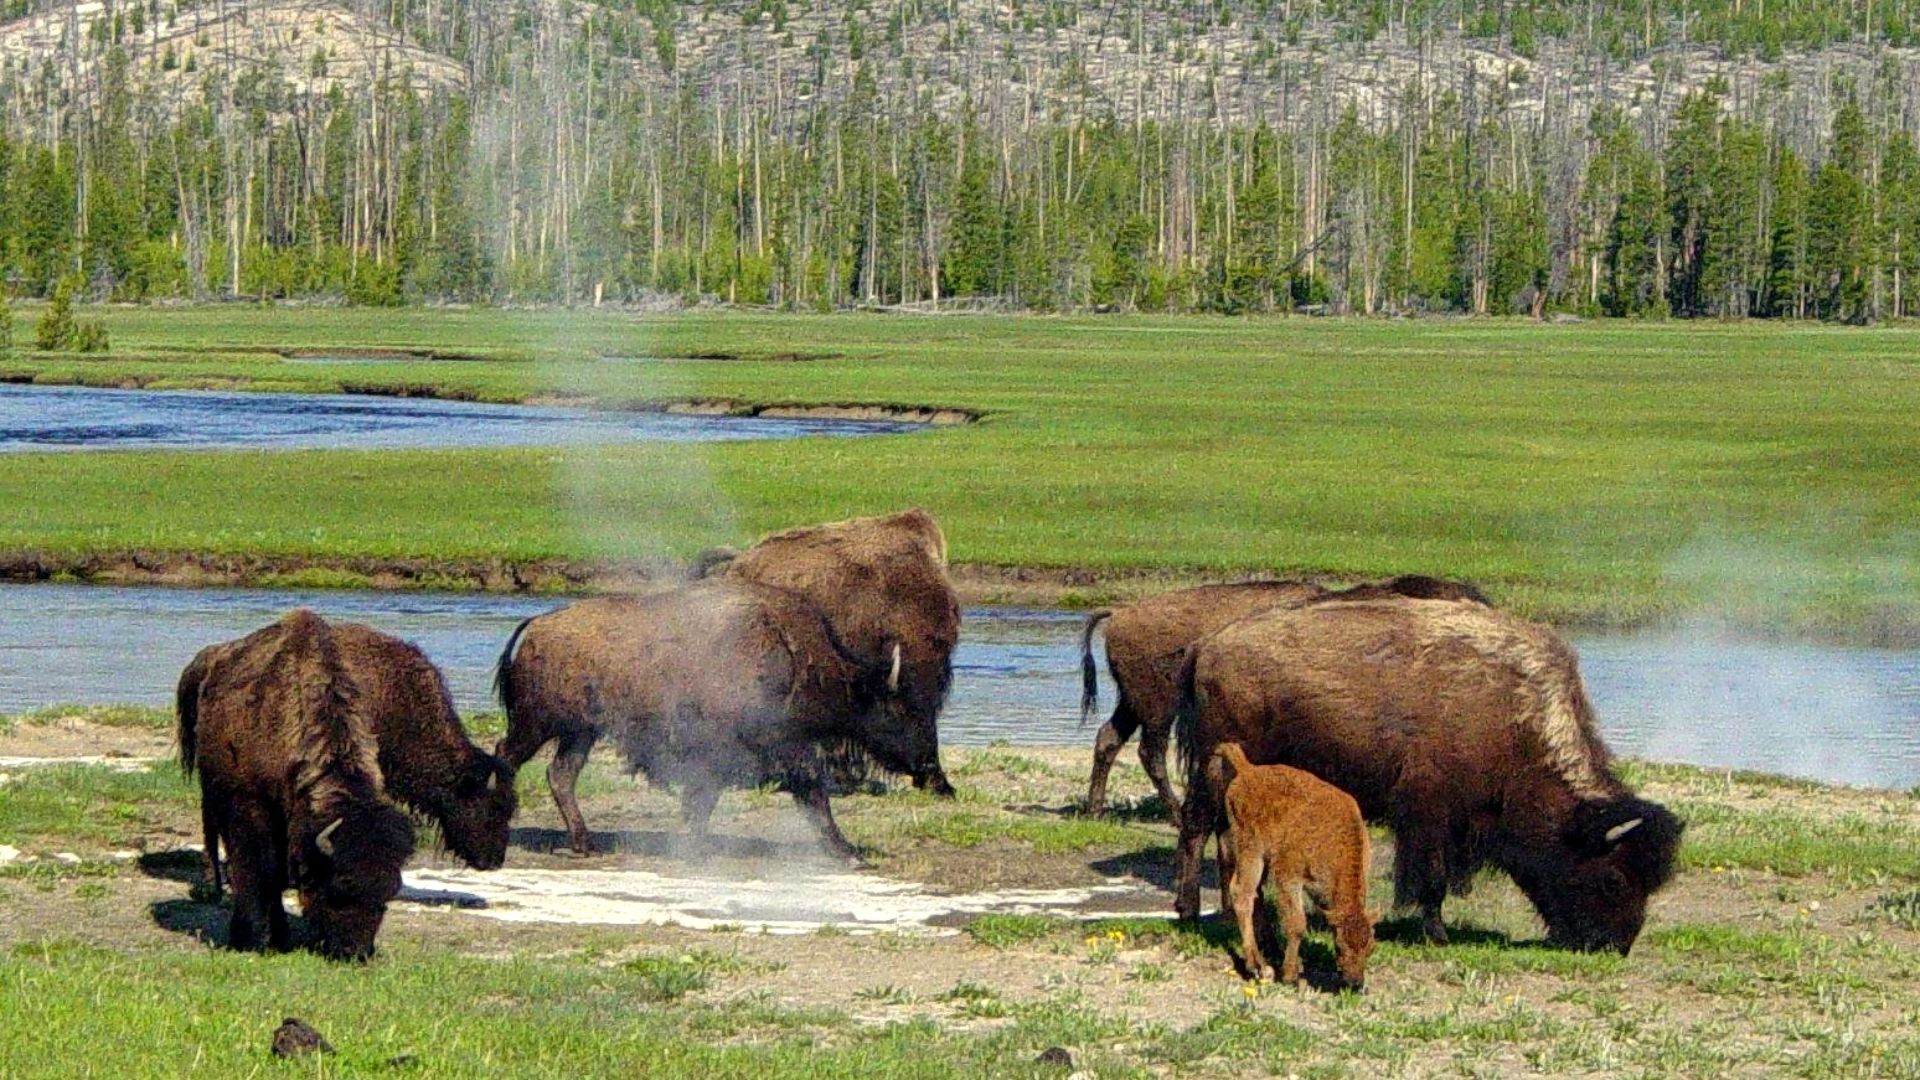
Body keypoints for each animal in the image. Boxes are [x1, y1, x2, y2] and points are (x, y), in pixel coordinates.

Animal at [176, 610, 415, 960]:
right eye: (340, 887)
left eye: (388, 893)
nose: (356, 953)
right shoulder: (251, 808)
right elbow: (259, 871)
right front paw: (253, 938)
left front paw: (279, 936)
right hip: (211, 794)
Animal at [494, 578, 941, 864]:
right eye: (900, 707)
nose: (930, 766)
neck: (794, 656)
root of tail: (537, 626)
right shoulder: (774, 749)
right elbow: (813, 795)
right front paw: (849, 853)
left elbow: (706, 801)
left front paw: (696, 845)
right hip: (539, 724)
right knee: (508, 756)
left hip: (580, 732)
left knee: (560, 775)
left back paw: (585, 844)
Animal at [1080, 576, 1488, 823]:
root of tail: (1120, 612)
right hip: (1157, 707)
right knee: (1150, 752)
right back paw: (1176, 816)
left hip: (1133, 703)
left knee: (1109, 739)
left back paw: (1095, 811)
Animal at [1172, 596, 1681, 955]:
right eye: (1613, 879)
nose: (1615, 946)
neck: (1513, 719)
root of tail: (1207, 648)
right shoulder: (1430, 814)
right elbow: (1430, 877)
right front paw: (1436, 932)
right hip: (1215, 770)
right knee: (1196, 827)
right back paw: (1191, 910)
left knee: (1224, 836)